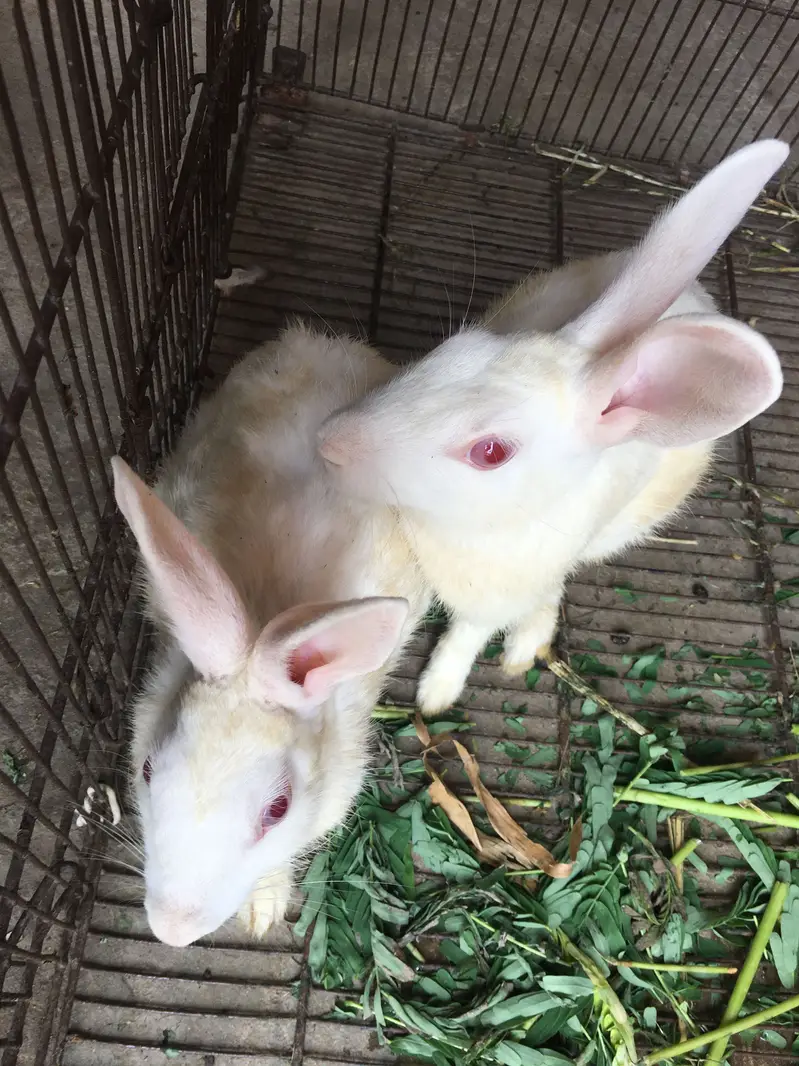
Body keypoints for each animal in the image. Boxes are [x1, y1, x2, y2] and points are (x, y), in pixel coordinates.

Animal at [317, 139, 787, 716]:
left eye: (491, 452)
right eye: (450, 350)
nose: (330, 441)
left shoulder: (496, 595)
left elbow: (468, 634)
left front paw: (438, 692)